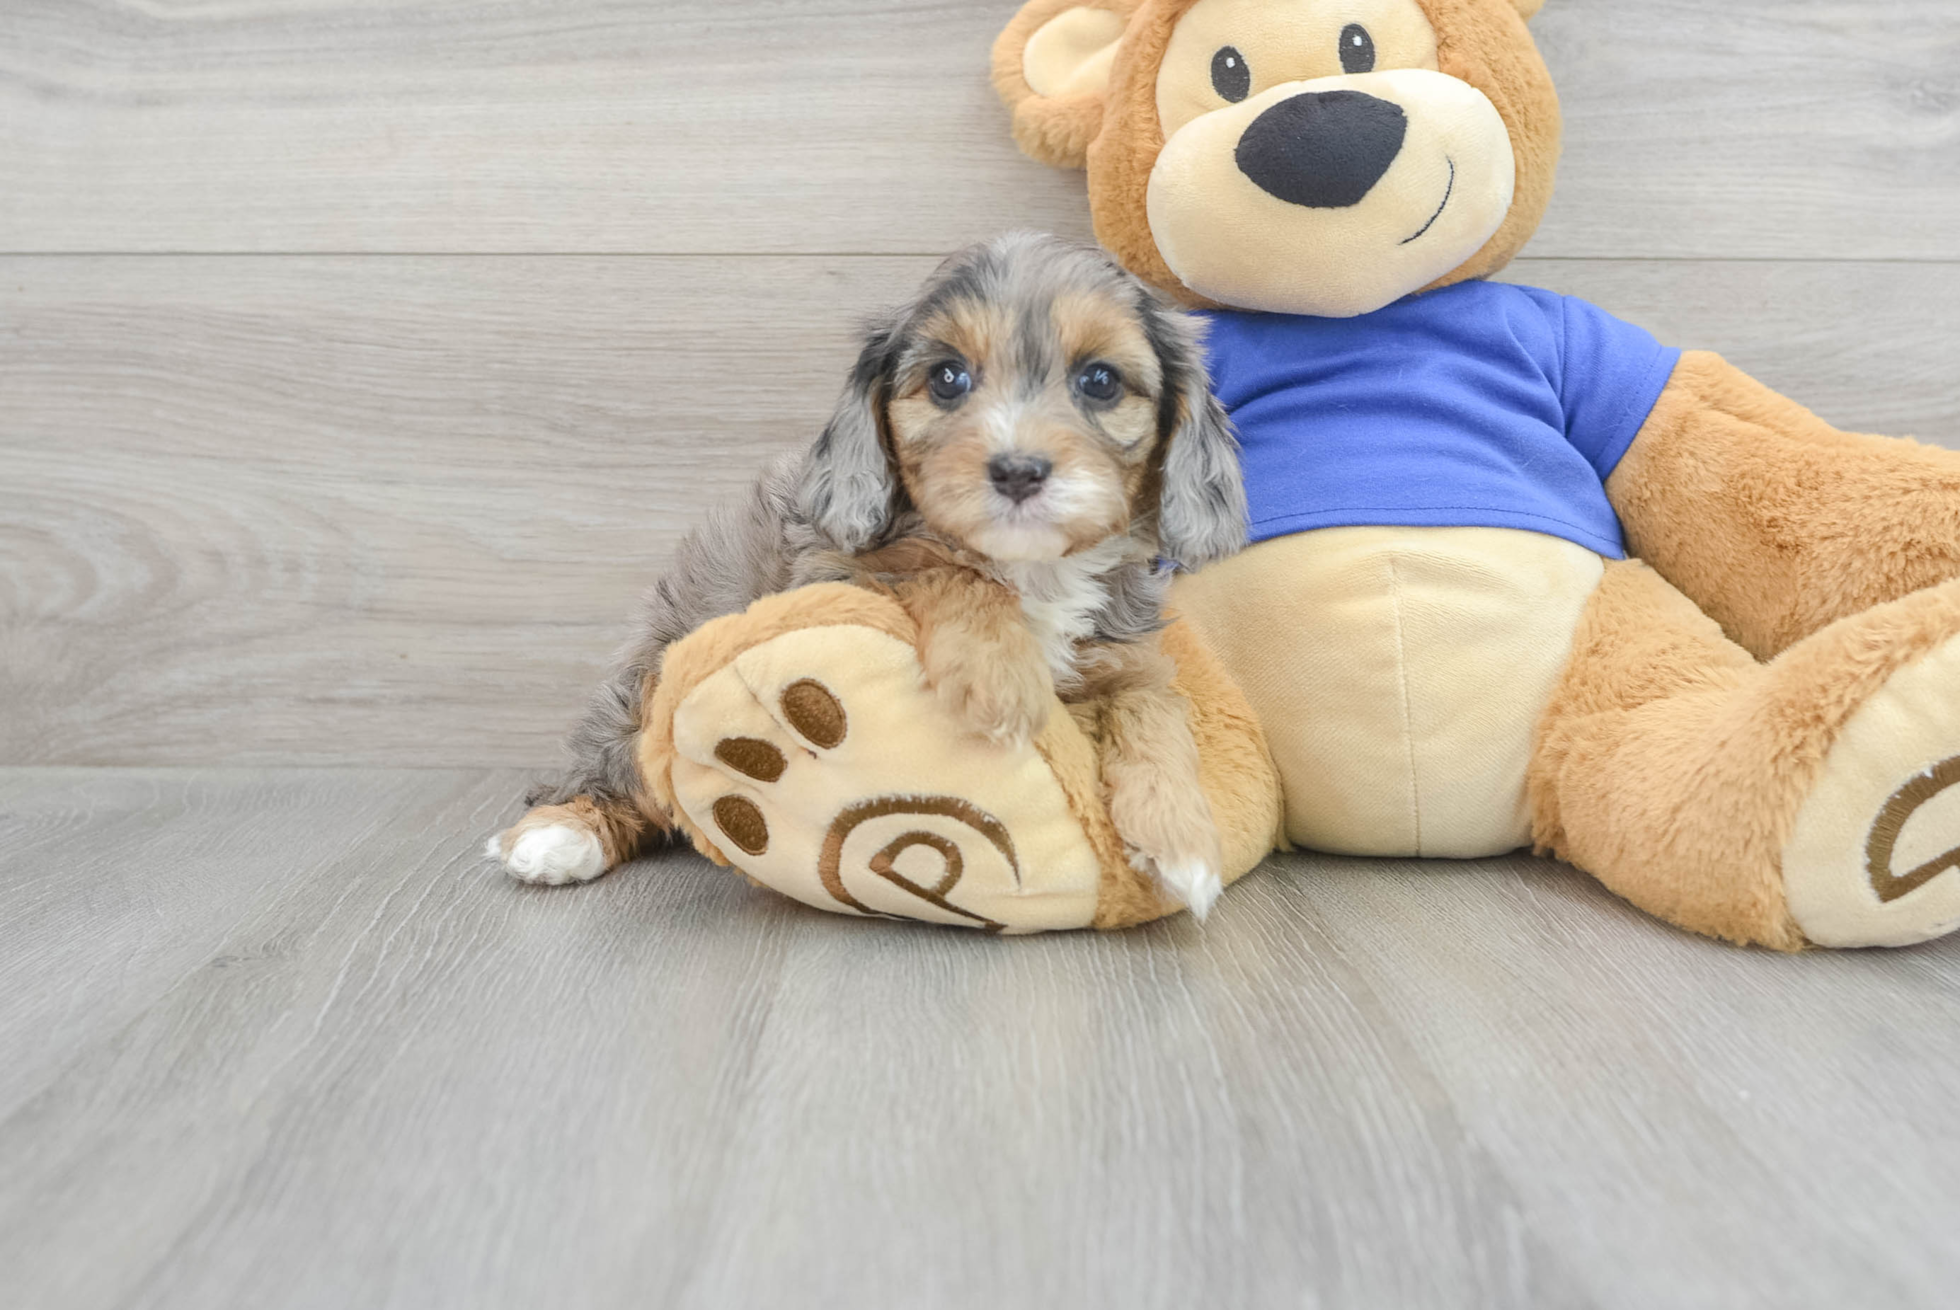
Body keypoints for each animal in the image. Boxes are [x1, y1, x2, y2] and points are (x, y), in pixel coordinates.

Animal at [497, 230, 1246, 917]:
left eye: (1100, 381)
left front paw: (1181, 842)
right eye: (948, 378)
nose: (1017, 470)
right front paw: (999, 678)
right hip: (645, 684)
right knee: (613, 769)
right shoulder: (835, 578)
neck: (1032, 571)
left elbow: (1154, 711)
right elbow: (945, 571)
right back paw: (559, 836)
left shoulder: (1127, 657)